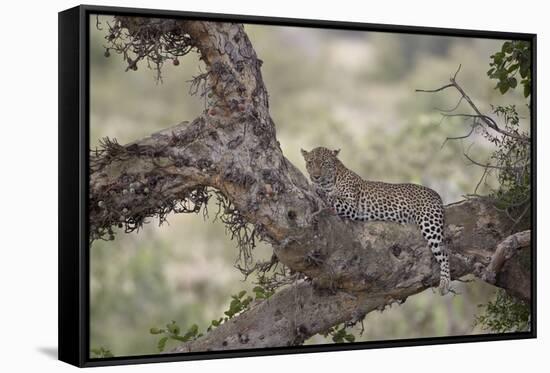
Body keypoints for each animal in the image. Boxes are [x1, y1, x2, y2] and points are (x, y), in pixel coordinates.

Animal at [302, 145, 452, 294]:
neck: (331, 180)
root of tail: (436, 194)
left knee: (444, 253)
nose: (315, 176)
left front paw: (318, 189)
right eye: (310, 162)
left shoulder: (352, 206)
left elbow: (332, 197)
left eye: (324, 163)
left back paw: (444, 283)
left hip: (429, 223)